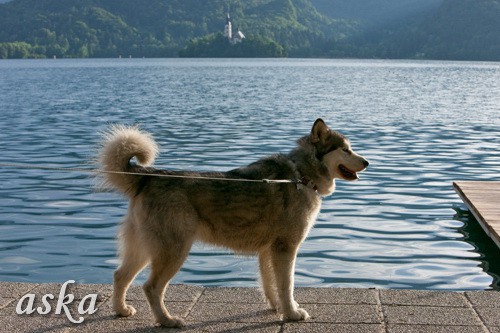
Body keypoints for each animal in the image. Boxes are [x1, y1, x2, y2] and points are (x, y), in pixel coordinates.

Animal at [99, 118, 370, 326]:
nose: (367, 162)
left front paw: (277, 308)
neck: (301, 175)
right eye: (345, 149)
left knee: (120, 276)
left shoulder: (268, 252)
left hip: (145, 249)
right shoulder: (286, 248)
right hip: (174, 251)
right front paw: (292, 313)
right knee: (151, 287)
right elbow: (287, 285)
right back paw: (167, 320)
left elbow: (271, 285)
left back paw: (121, 309)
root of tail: (149, 175)